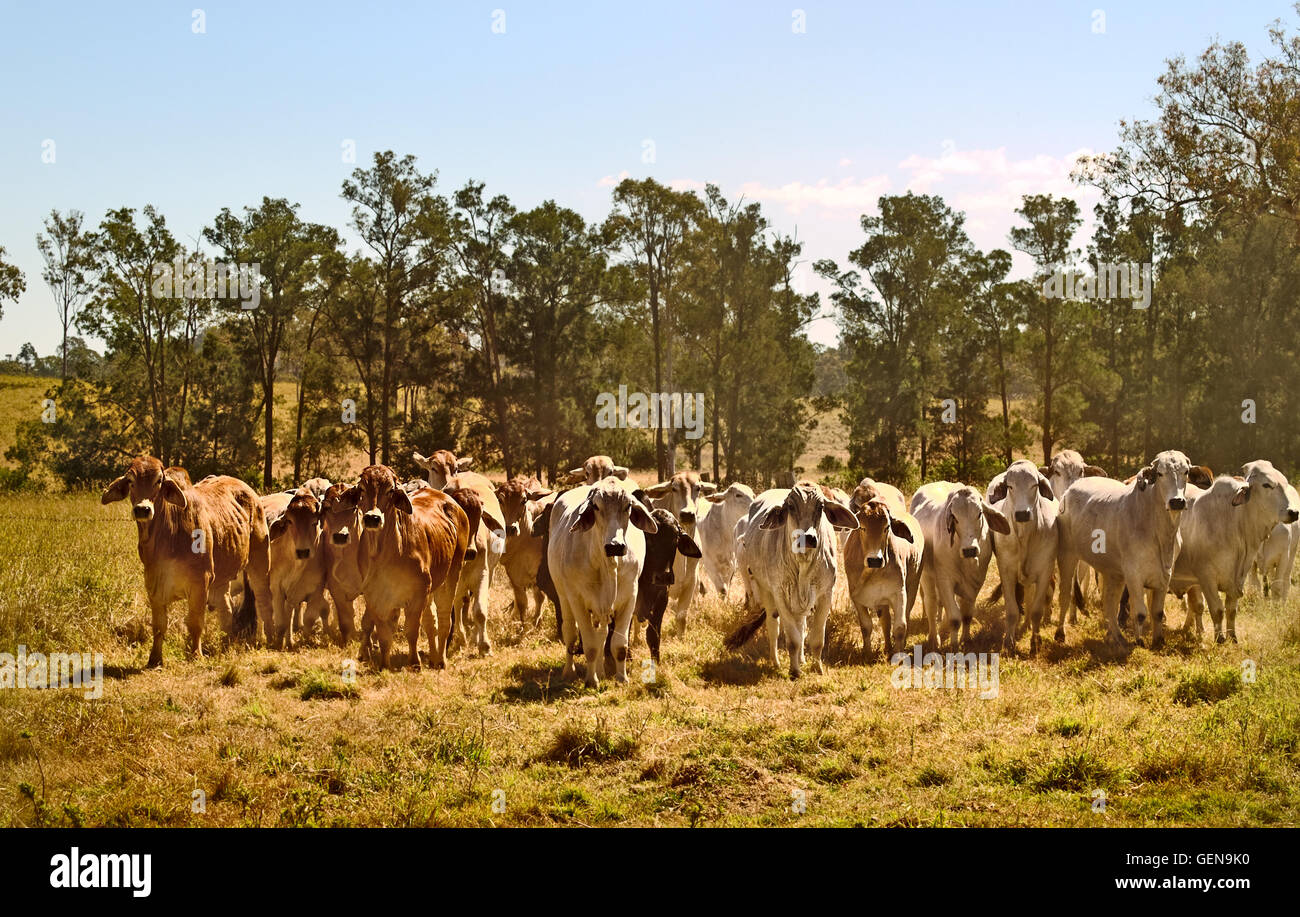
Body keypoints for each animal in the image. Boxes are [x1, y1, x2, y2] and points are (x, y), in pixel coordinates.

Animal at [104, 455, 274, 665]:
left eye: (159, 481)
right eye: (130, 481)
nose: (142, 509)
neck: (167, 537)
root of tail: (250, 492)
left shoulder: (200, 582)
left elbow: (195, 622)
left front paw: (196, 654)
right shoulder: (154, 586)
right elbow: (159, 625)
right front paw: (154, 659)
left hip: (260, 561)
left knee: (263, 600)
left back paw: (271, 638)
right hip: (222, 577)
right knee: (226, 608)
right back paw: (226, 643)